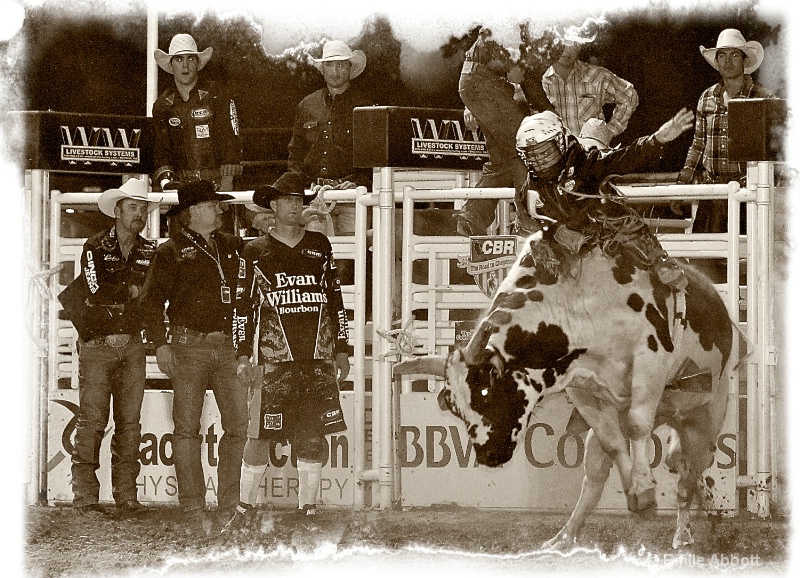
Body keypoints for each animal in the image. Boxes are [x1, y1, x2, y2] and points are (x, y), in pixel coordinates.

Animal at [392, 230, 744, 548]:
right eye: (454, 407)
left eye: (484, 392)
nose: (488, 455)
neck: (577, 304)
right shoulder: (582, 387)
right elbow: (615, 444)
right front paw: (638, 495)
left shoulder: (650, 358)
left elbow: (636, 424)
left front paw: (644, 486)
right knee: (598, 476)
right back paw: (564, 538)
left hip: (706, 418)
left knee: (688, 475)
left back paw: (683, 534)